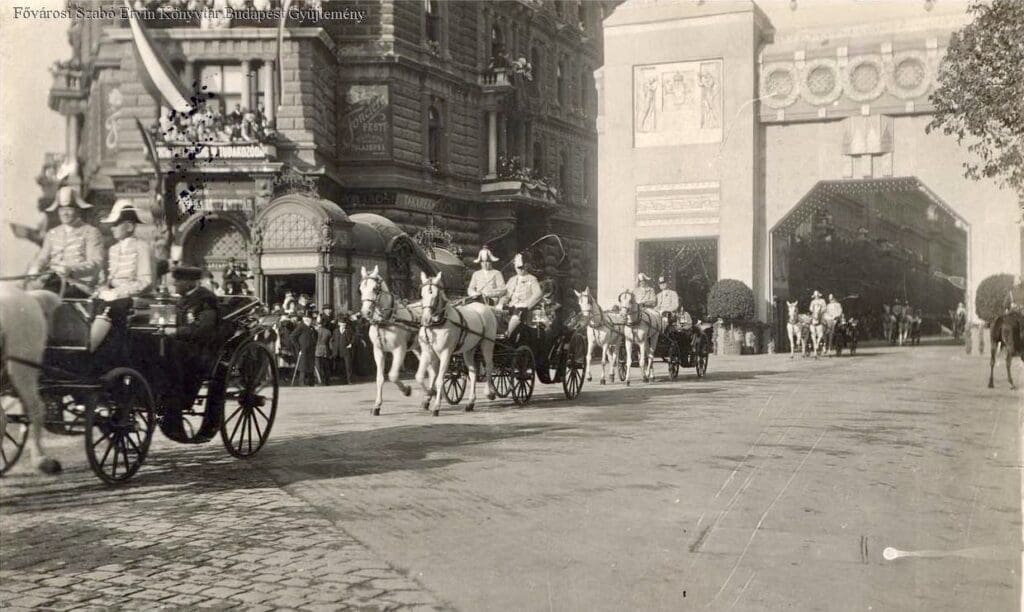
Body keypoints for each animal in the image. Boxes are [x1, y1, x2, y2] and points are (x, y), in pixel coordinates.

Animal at [356, 268, 436, 417]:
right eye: (361, 289)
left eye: (375, 289)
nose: (365, 312)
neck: (386, 321)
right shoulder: (378, 351)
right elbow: (380, 378)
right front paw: (377, 406)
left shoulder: (399, 350)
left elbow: (392, 376)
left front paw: (407, 390)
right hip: (418, 349)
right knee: (431, 371)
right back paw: (427, 398)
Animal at [415, 274, 495, 417]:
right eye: (422, 294)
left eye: (436, 295)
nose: (426, 320)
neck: (437, 324)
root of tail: (484, 306)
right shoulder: (427, 353)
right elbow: (421, 376)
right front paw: (429, 395)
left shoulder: (446, 353)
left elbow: (439, 379)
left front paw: (436, 406)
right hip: (469, 350)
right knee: (473, 372)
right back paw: (470, 403)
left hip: (488, 344)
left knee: (489, 366)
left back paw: (489, 392)